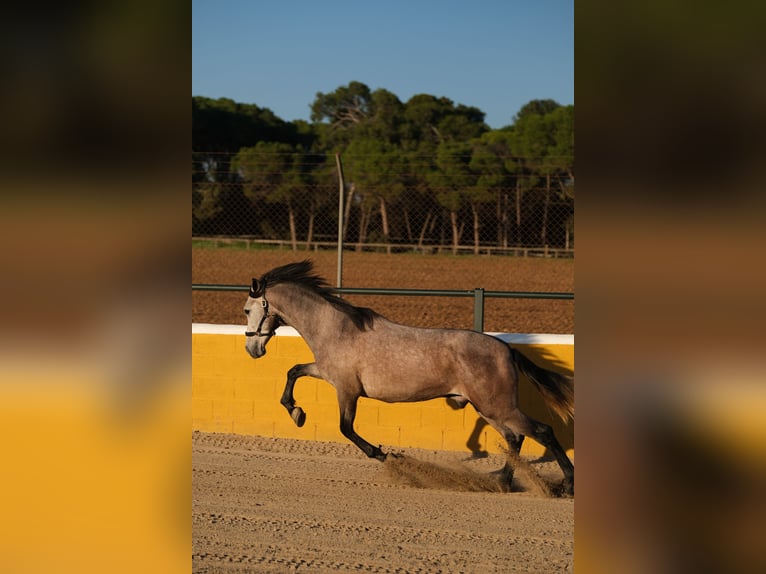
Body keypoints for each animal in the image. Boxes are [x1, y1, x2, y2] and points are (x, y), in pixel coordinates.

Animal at [243, 260, 572, 496]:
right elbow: (294, 371)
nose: (252, 349)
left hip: (497, 406)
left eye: (247, 309)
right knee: (515, 437)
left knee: (542, 431)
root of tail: (506, 348)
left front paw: (388, 456)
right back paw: (500, 482)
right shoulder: (327, 374)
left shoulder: (347, 389)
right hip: (488, 408)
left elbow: (346, 429)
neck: (335, 328)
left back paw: (565, 485)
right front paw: (296, 413)